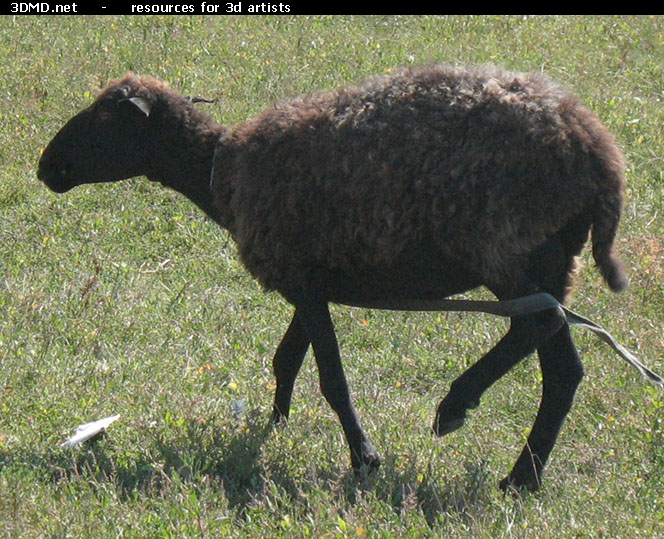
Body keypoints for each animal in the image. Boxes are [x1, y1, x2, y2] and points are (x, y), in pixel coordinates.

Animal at [37, 64, 628, 494]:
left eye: (103, 117)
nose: (47, 167)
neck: (221, 173)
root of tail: (598, 153)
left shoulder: (303, 280)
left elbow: (332, 379)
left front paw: (363, 457)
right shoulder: (308, 277)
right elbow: (287, 358)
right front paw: (272, 425)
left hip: (505, 245)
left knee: (538, 326)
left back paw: (456, 406)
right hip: (552, 259)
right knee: (563, 369)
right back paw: (521, 479)